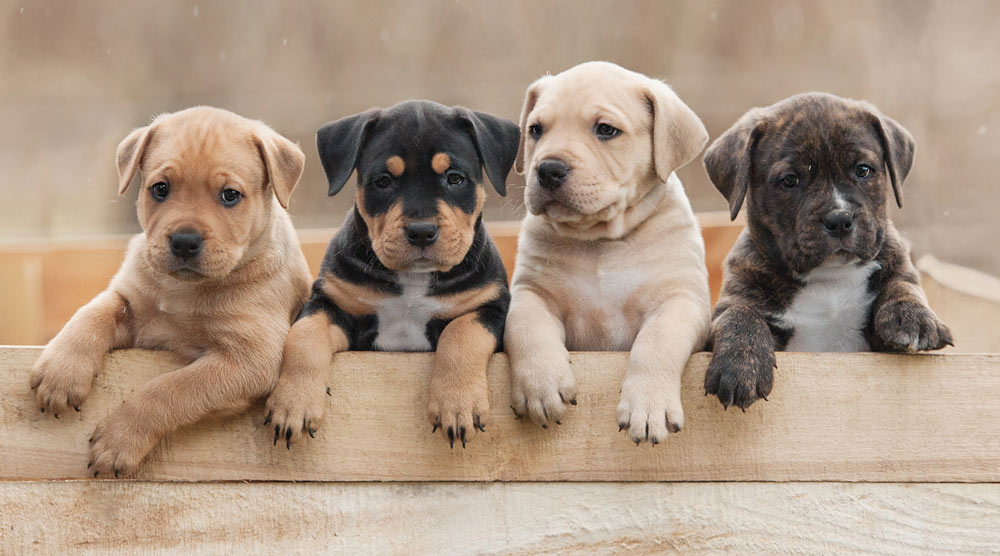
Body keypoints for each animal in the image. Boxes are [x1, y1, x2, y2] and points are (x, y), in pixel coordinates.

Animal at [29, 106, 310, 476]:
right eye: (160, 189)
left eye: (230, 195)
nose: (184, 242)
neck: (184, 290)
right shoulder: (129, 302)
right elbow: (91, 314)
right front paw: (61, 371)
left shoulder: (249, 359)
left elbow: (171, 389)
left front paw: (120, 438)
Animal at [266, 99, 516, 448]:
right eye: (383, 181)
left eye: (455, 179)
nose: (421, 231)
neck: (413, 279)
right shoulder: (332, 306)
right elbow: (303, 338)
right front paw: (293, 405)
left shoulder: (490, 307)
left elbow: (461, 334)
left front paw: (457, 406)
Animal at [508, 62, 712, 444]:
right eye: (536, 130)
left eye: (605, 130)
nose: (548, 168)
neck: (601, 241)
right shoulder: (531, 291)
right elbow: (526, 326)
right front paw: (541, 385)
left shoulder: (681, 300)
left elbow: (656, 342)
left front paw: (648, 405)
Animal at [704, 93, 952, 410]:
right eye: (790, 180)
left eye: (863, 170)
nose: (840, 219)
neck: (829, 277)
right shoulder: (731, 302)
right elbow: (739, 314)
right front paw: (738, 366)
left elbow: (903, 285)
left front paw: (913, 317)